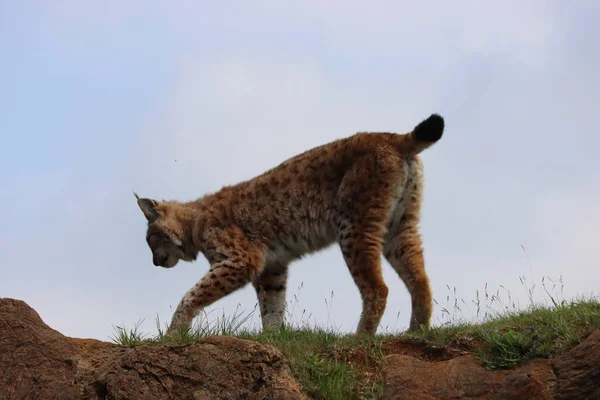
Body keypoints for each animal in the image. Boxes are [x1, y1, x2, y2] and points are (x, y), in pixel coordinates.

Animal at [137, 114, 446, 336]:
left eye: (151, 241)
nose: (154, 262)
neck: (194, 222)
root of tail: (394, 137)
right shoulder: (271, 268)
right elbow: (271, 307)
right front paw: (274, 338)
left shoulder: (242, 260)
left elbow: (192, 295)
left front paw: (173, 333)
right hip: (400, 225)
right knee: (420, 278)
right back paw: (416, 331)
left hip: (353, 226)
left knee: (378, 287)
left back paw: (361, 337)